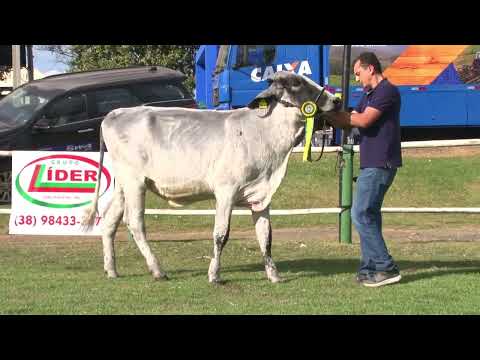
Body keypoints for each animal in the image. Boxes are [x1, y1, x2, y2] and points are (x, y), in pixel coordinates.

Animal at [83, 71, 344, 284]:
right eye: (297, 83)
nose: (336, 100)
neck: (264, 135)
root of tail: (116, 113)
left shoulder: (262, 196)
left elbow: (265, 236)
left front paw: (274, 275)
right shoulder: (226, 192)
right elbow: (221, 235)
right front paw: (214, 274)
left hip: (123, 186)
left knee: (110, 221)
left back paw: (112, 270)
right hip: (135, 182)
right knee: (135, 223)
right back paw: (157, 270)